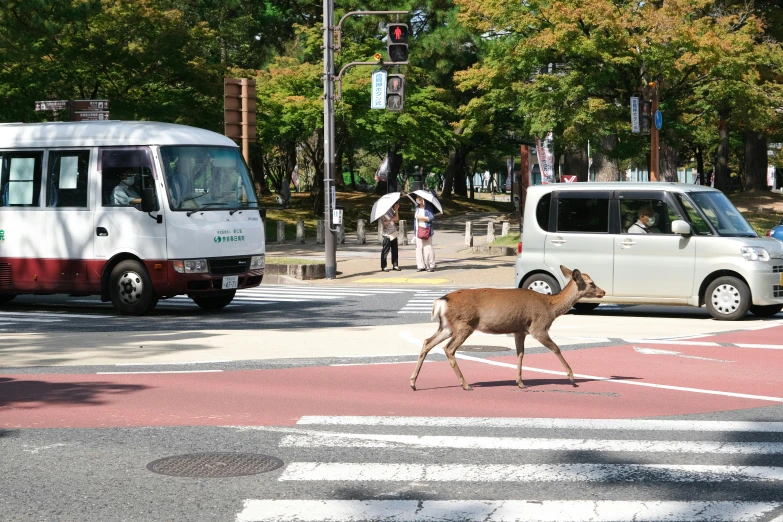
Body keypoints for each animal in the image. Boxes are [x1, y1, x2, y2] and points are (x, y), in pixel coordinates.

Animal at [410, 264, 608, 390]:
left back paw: (413, 383)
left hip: (447, 326)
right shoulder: (538, 327)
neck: (551, 306)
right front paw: (572, 377)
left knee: (427, 342)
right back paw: (465, 385)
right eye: (591, 283)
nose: (603, 291)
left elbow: (520, 354)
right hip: (464, 324)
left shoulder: (519, 330)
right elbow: (556, 348)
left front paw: (520, 382)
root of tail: (441, 301)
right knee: (448, 348)